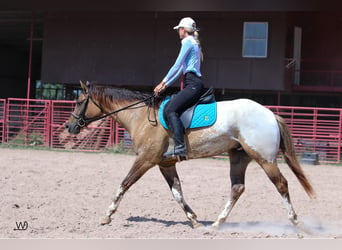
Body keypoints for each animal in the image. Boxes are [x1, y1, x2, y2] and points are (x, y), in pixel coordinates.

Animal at [66, 81, 316, 229]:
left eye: (78, 101)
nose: (70, 126)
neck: (141, 116)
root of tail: (270, 114)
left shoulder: (145, 160)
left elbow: (124, 184)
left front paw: (107, 215)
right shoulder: (165, 164)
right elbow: (177, 193)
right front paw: (194, 220)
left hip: (265, 159)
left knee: (281, 184)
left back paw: (295, 221)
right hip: (238, 157)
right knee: (237, 188)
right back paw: (217, 223)